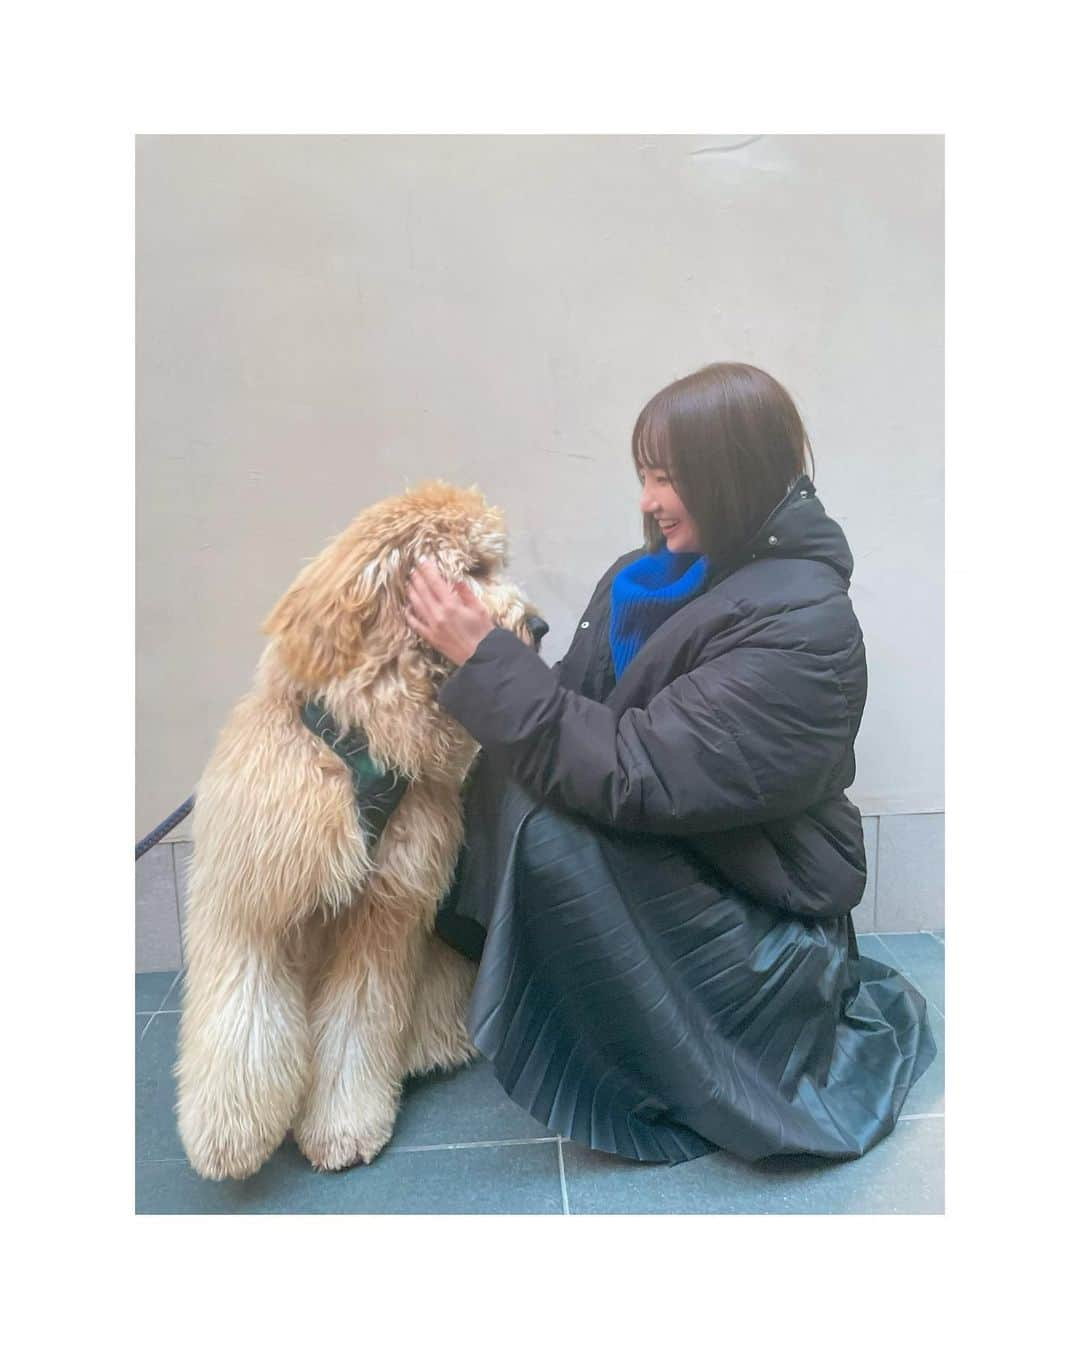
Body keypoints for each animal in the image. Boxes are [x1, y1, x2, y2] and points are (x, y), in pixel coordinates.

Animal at [179, 480, 548, 1177]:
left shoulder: (385, 911)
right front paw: (229, 1135)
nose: (538, 627)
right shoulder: (254, 898)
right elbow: (241, 1021)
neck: (365, 734)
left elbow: (355, 1025)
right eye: (475, 569)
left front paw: (342, 1127)